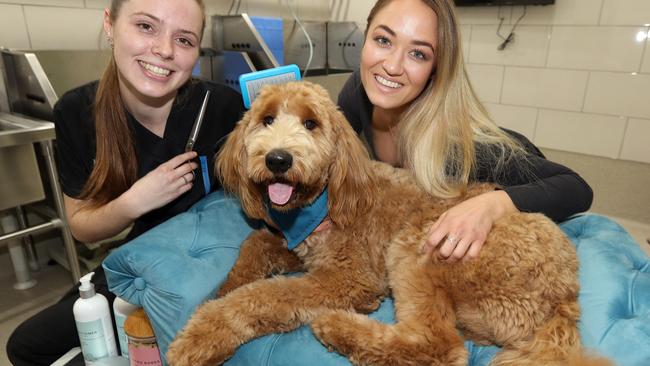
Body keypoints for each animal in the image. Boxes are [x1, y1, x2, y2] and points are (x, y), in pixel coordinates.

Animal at [166, 81, 608, 364]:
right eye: (267, 119)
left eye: (311, 124)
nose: (278, 159)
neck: (326, 199)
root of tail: (565, 299)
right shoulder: (297, 247)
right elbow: (253, 246)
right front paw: (226, 285)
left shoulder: (347, 277)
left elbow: (263, 296)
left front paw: (202, 335)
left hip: (417, 247)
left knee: (437, 346)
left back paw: (339, 327)